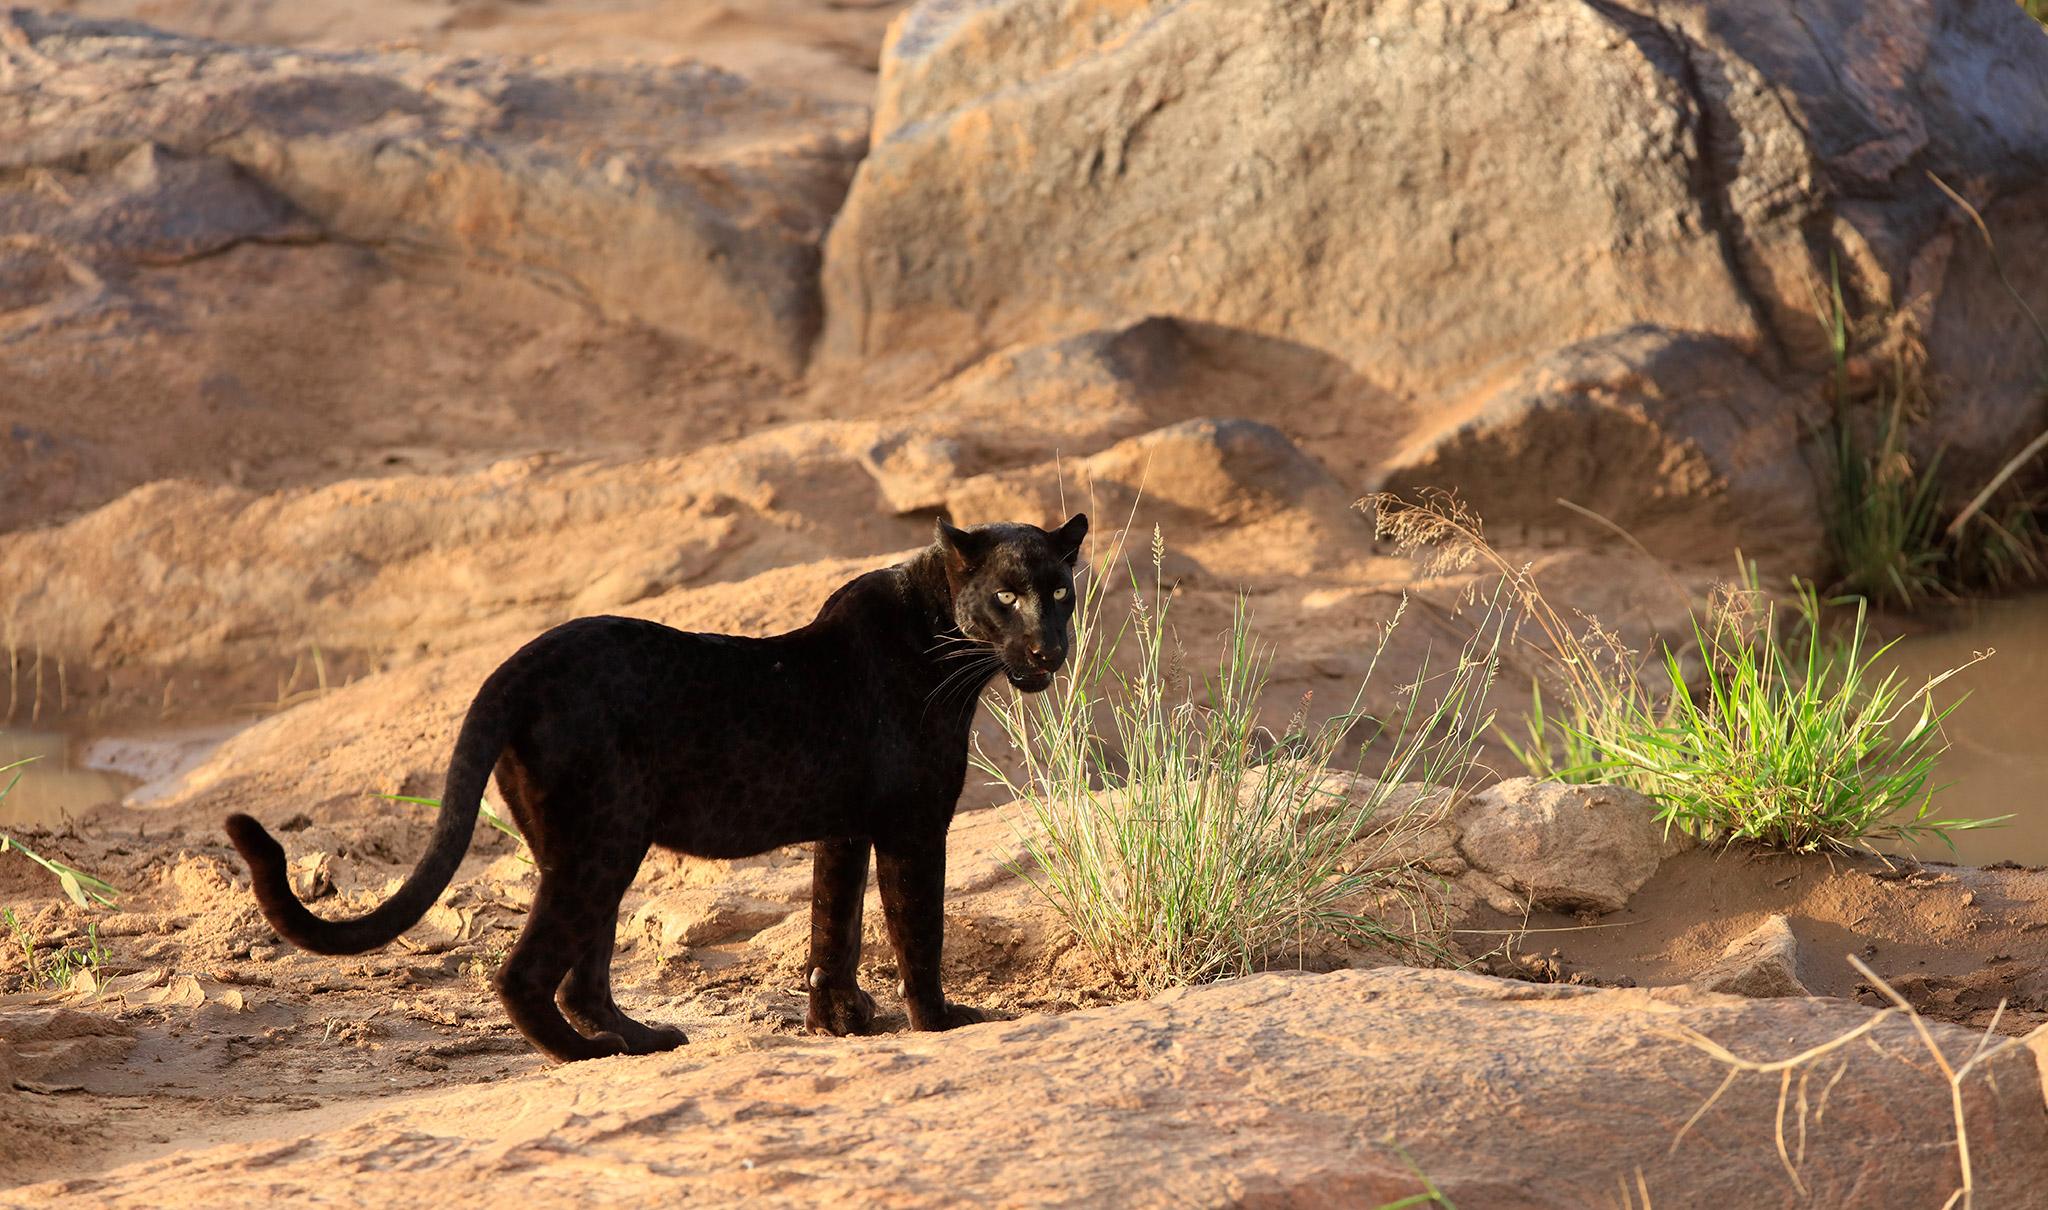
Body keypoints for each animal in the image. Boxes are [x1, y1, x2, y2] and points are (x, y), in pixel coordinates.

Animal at [225, 513, 1088, 1062]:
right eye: (1007, 595)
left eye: (1061, 592)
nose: (1050, 647)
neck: (946, 640)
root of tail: (514, 667)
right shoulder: (913, 824)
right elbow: (917, 927)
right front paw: (940, 1022)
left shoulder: (843, 829)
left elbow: (832, 927)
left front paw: (840, 1022)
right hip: (604, 841)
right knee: (526, 971)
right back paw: (585, 1056)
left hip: (583, 846)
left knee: (584, 974)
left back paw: (639, 1039)